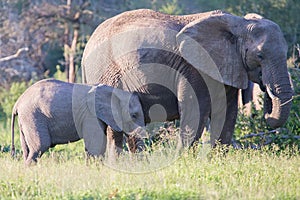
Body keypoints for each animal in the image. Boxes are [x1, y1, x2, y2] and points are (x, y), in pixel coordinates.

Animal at [9, 78, 145, 166]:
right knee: (40, 146)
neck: (115, 92)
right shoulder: (90, 114)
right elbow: (95, 145)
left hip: (26, 120)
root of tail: (17, 103)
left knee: (27, 150)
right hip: (33, 116)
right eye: (134, 115)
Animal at [81, 9, 292, 150]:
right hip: (106, 72)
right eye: (260, 56)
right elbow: (195, 109)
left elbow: (227, 113)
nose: (265, 88)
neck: (239, 23)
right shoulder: (192, 67)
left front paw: (218, 158)